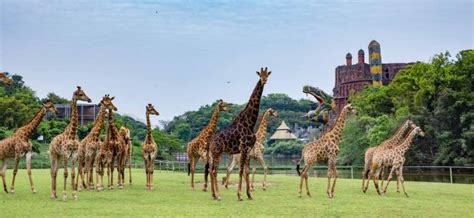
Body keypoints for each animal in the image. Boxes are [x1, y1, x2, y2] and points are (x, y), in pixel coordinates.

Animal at [206, 67, 270, 201]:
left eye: (267, 75)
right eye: (260, 75)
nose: (264, 80)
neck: (250, 123)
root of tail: (210, 140)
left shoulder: (248, 150)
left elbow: (247, 171)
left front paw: (249, 194)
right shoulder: (244, 148)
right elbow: (240, 171)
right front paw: (240, 195)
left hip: (215, 153)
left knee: (212, 170)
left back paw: (214, 194)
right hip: (217, 152)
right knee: (214, 171)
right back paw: (218, 195)